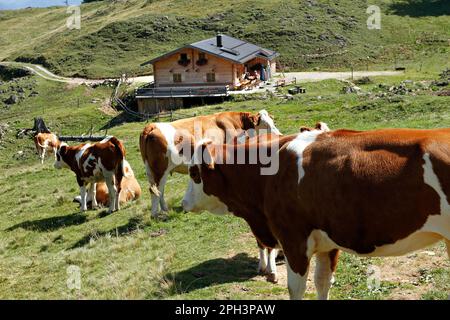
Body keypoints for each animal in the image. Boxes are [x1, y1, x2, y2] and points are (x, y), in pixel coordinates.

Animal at [140, 109, 282, 218]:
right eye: (265, 125)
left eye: (273, 122)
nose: (280, 135)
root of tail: (152, 126)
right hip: (160, 169)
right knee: (155, 189)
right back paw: (155, 214)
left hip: (152, 171)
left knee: (159, 190)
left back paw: (164, 209)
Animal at [183, 127, 450, 300]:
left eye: (194, 173)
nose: (184, 203)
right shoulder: (328, 243)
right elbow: (323, 282)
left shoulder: (294, 241)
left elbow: (296, 289)